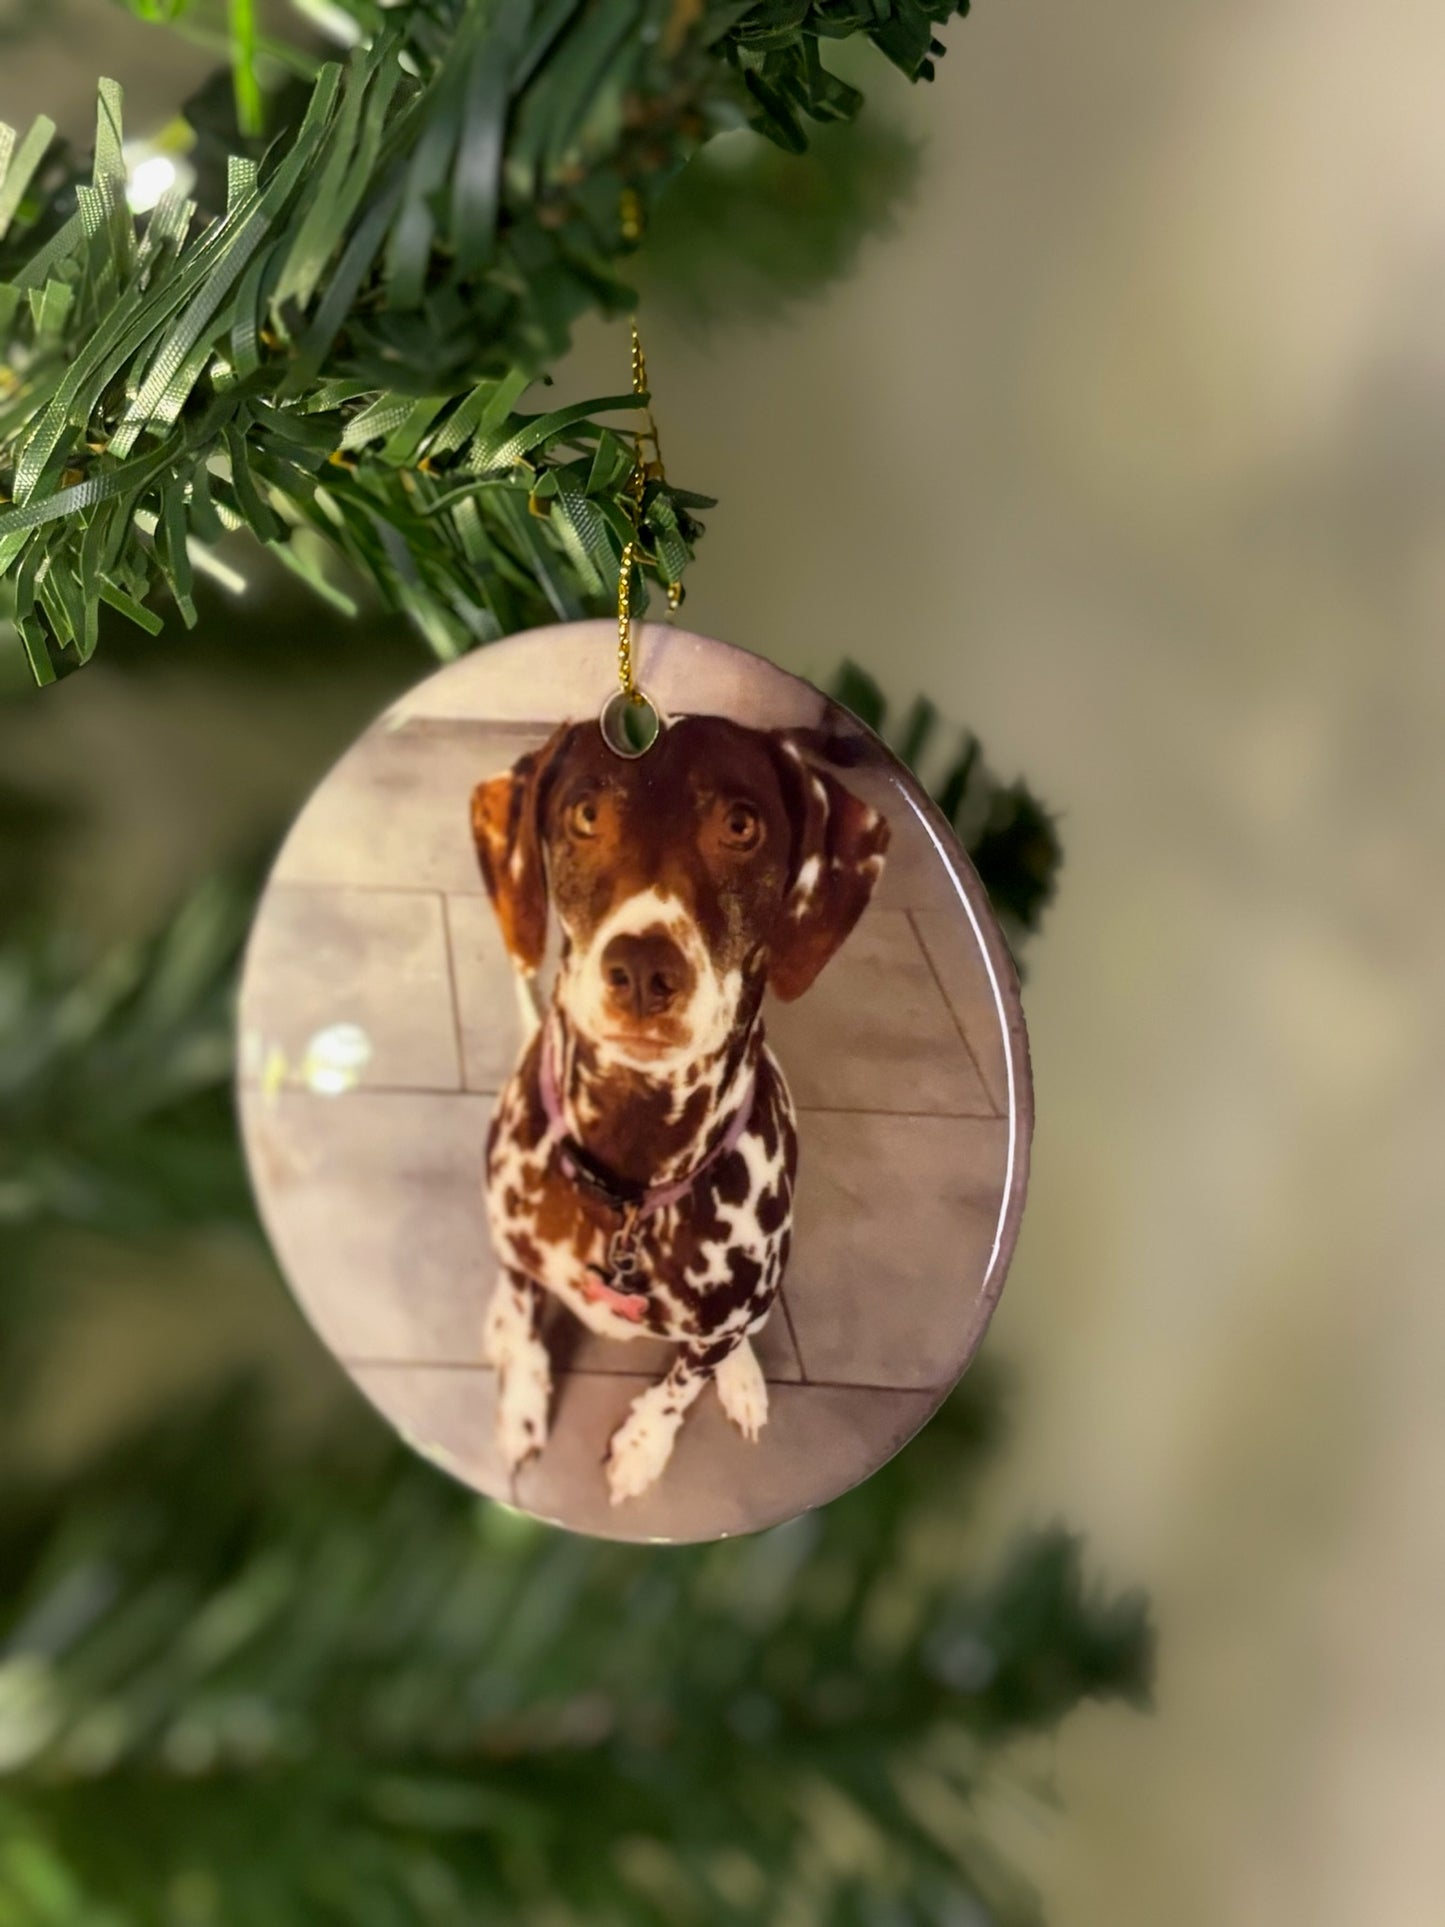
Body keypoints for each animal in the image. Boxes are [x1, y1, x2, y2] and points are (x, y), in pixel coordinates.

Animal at [470, 712, 890, 1503]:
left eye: (740, 825)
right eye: (585, 813)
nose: (642, 970)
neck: (628, 1182)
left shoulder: (720, 1324)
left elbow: (679, 1385)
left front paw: (642, 1446)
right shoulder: (515, 1248)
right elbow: (526, 1323)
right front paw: (520, 1405)